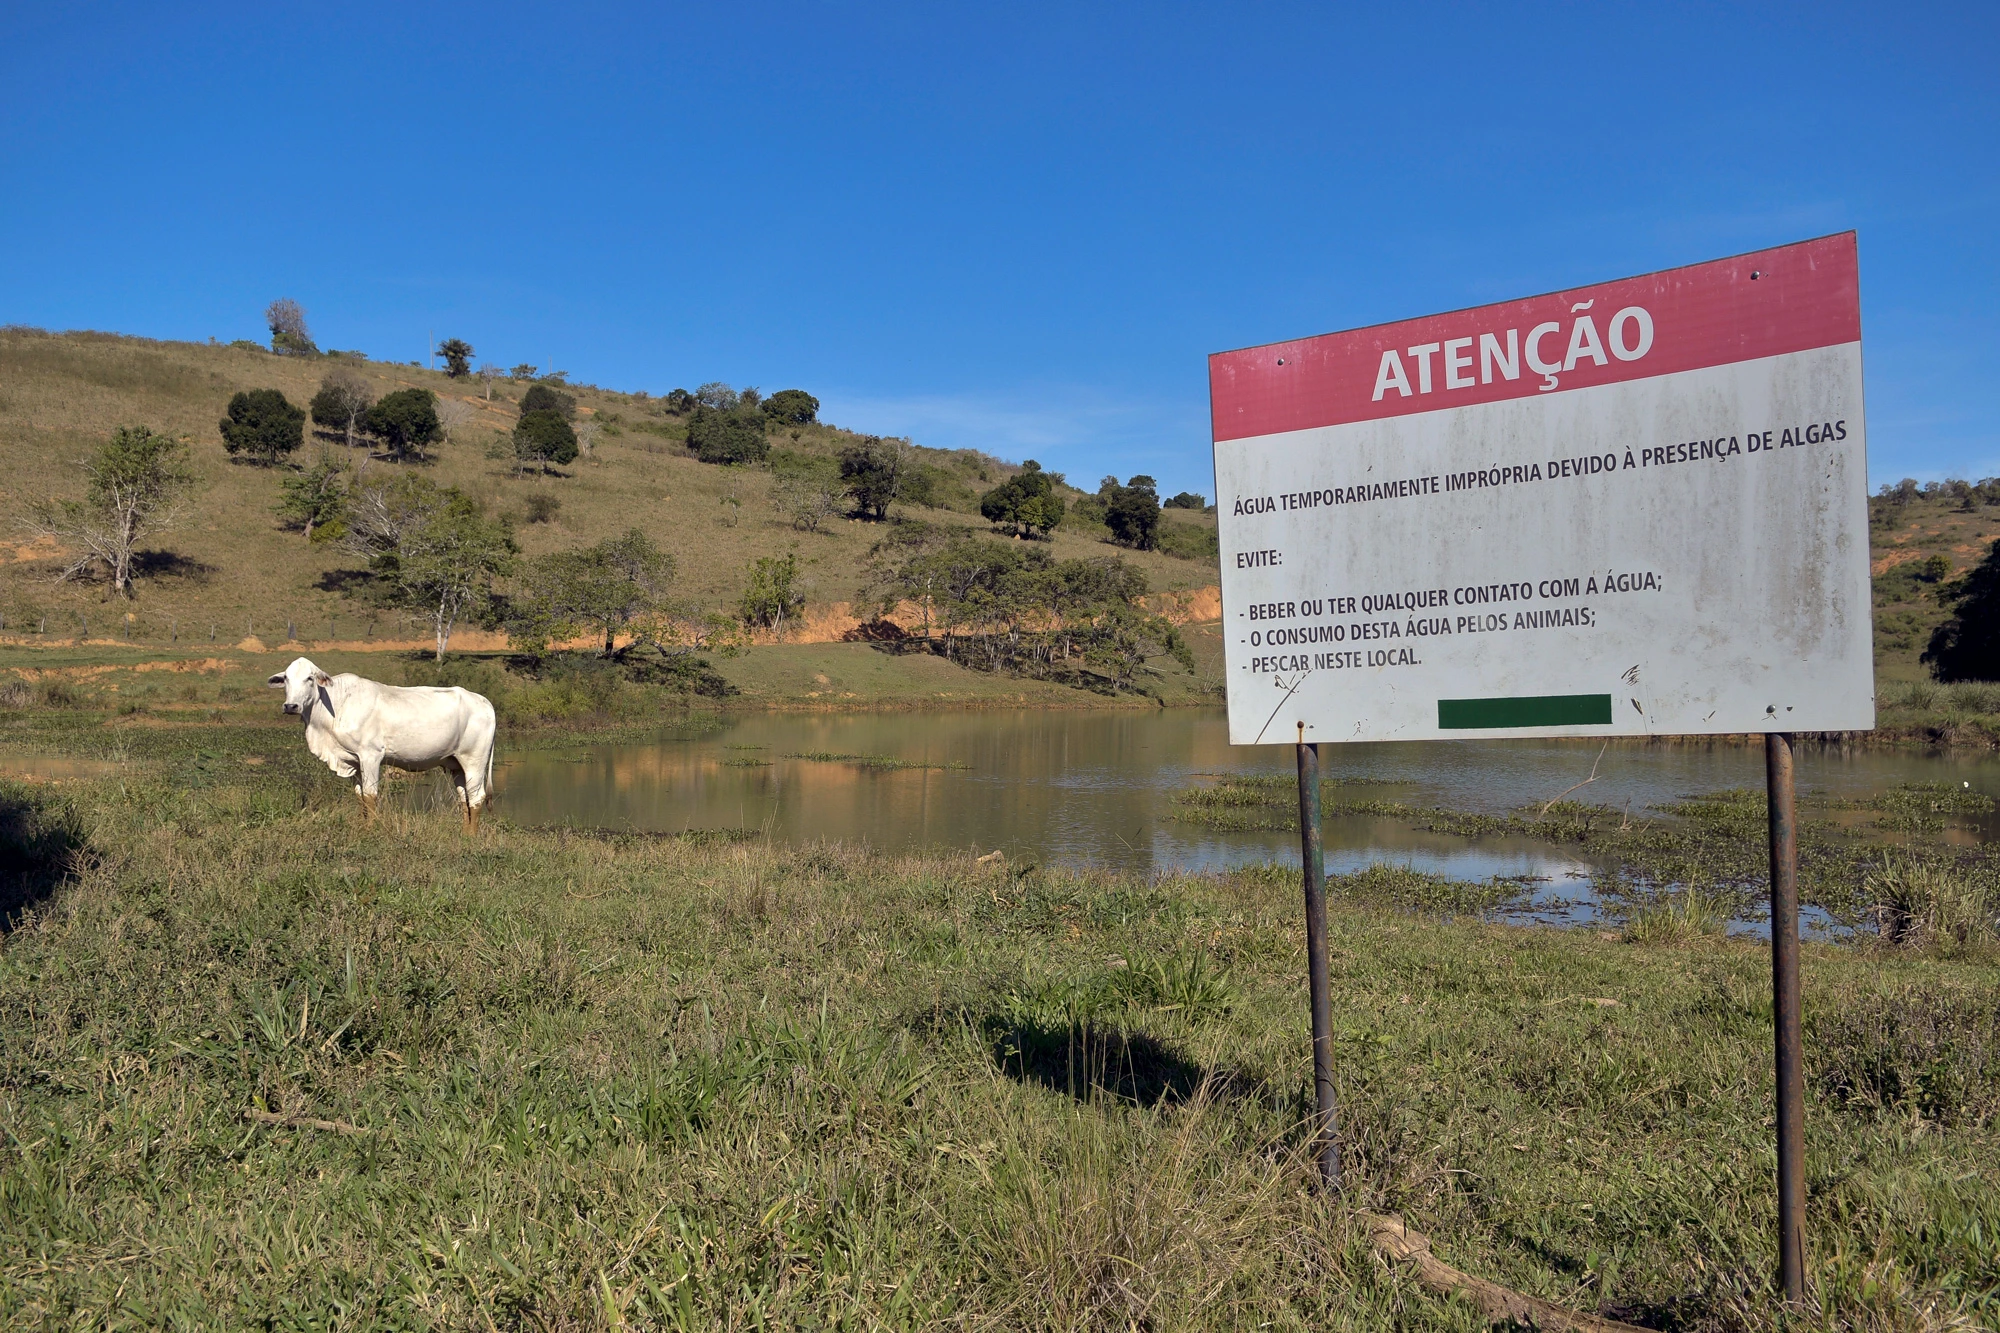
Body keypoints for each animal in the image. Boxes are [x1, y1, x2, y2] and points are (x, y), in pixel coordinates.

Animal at [270, 656, 500, 832]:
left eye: (309, 678)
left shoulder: (370, 756)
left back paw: (471, 837)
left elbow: (371, 796)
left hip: (474, 759)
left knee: (476, 797)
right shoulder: (354, 762)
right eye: (286, 678)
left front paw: (371, 831)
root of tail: (483, 701)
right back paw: (464, 834)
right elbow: (360, 796)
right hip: (455, 764)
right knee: (464, 798)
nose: (290, 706)